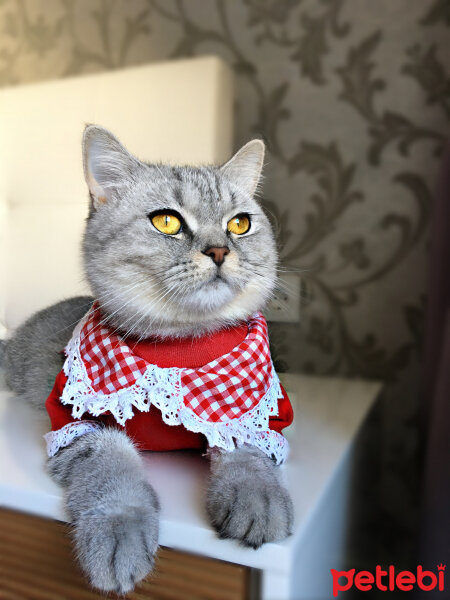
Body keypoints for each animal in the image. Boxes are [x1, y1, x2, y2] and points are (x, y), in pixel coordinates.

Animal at [1, 126, 294, 596]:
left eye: (240, 224)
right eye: (167, 221)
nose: (219, 251)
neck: (178, 348)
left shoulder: (255, 414)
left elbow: (245, 447)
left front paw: (257, 497)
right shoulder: (74, 423)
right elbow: (111, 463)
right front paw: (120, 531)